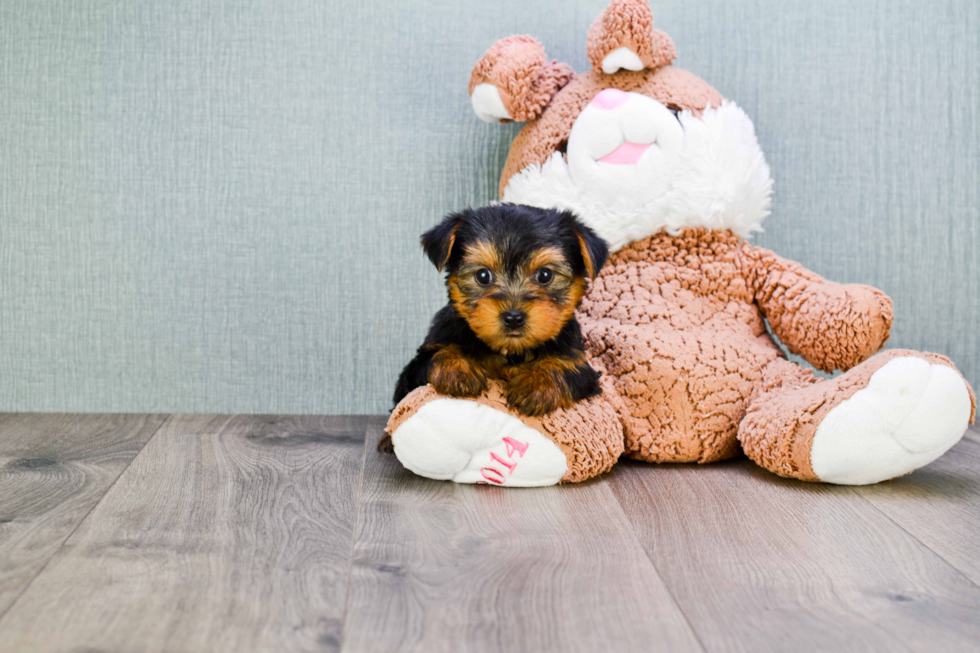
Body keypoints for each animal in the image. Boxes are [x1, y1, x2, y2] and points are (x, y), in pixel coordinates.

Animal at [390, 204, 604, 422]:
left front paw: (536, 384)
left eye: (545, 275)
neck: (510, 351)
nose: (513, 318)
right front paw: (457, 369)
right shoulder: (415, 369)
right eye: (483, 275)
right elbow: (435, 356)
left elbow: (566, 368)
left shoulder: (580, 364)